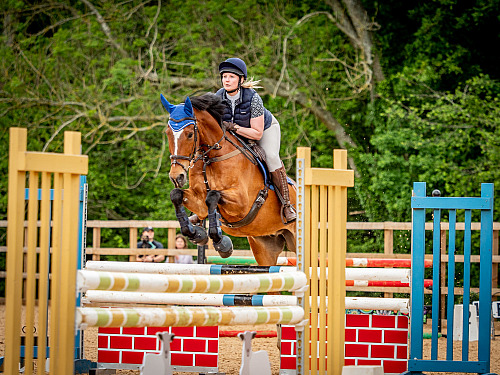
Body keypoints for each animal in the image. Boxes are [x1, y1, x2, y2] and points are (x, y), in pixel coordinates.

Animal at [160, 92, 294, 266]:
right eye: (168, 133)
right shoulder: (198, 201)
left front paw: (221, 243)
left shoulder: (242, 203)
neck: (212, 157)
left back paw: (289, 212)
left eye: (190, 134)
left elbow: (213, 196)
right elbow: (176, 195)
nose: (177, 176)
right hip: (265, 246)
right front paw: (197, 234)